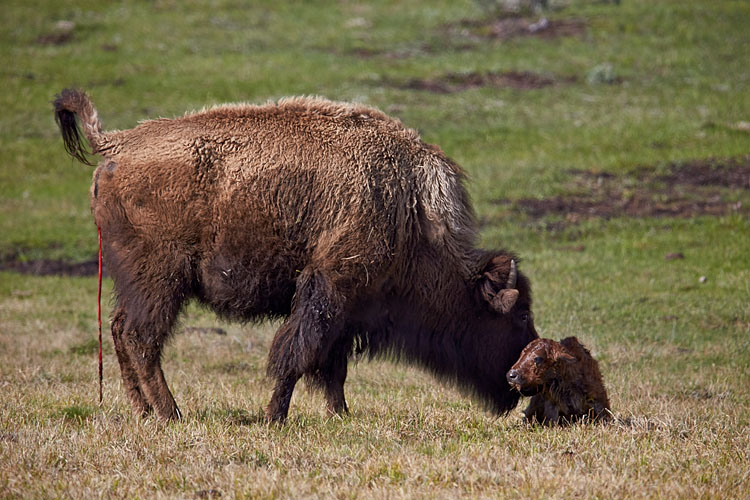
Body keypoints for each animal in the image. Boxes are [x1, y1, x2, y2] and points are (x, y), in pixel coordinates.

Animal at [54, 88, 539, 422]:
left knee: (120, 331)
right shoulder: (329, 290)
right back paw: (172, 413)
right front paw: (275, 417)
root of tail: (117, 144)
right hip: (160, 281)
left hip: (134, 283)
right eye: (518, 315)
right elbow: (298, 354)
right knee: (141, 338)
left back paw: (144, 411)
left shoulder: (347, 308)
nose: (515, 384)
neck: (411, 211)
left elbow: (331, 366)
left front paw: (340, 415)